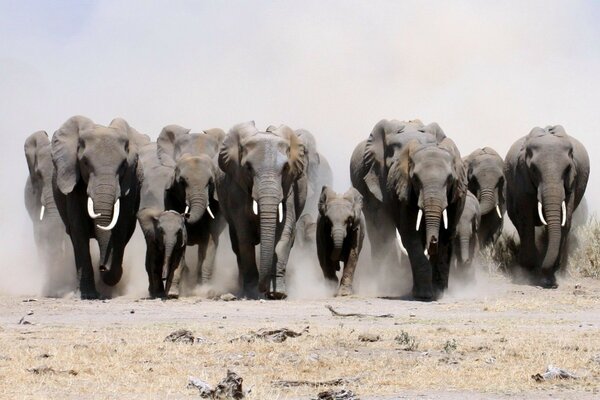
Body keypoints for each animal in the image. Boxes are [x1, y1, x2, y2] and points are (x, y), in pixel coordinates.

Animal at [51, 114, 150, 298]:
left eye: (123, 165)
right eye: (84, 162)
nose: (103, 267)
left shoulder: (130, 183)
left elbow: (120, 227)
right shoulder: (74, 184)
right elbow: (79, 229)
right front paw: (88, 295)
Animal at [157, 125, 227, 294]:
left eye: (210, 182)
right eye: (182, 181)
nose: (186, 214)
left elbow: (210, 240)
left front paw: (204, 289)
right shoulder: (169, 195)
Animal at [217, 120, 310, 298]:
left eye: (285, 168)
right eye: (248, 168)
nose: (264, 290)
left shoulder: (288, 188)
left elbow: (284, 233)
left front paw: (278, 294)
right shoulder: (236, 188)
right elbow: (244, 235)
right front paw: (252, 293)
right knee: (236, 244)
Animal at [504, 125, 588, 288]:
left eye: (567, 169)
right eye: (534, 169)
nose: (549, 283)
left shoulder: (572, 183)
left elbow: (565, 220)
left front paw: (549, 275)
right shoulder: (521, 177)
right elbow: (526, 219)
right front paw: (530, 272)